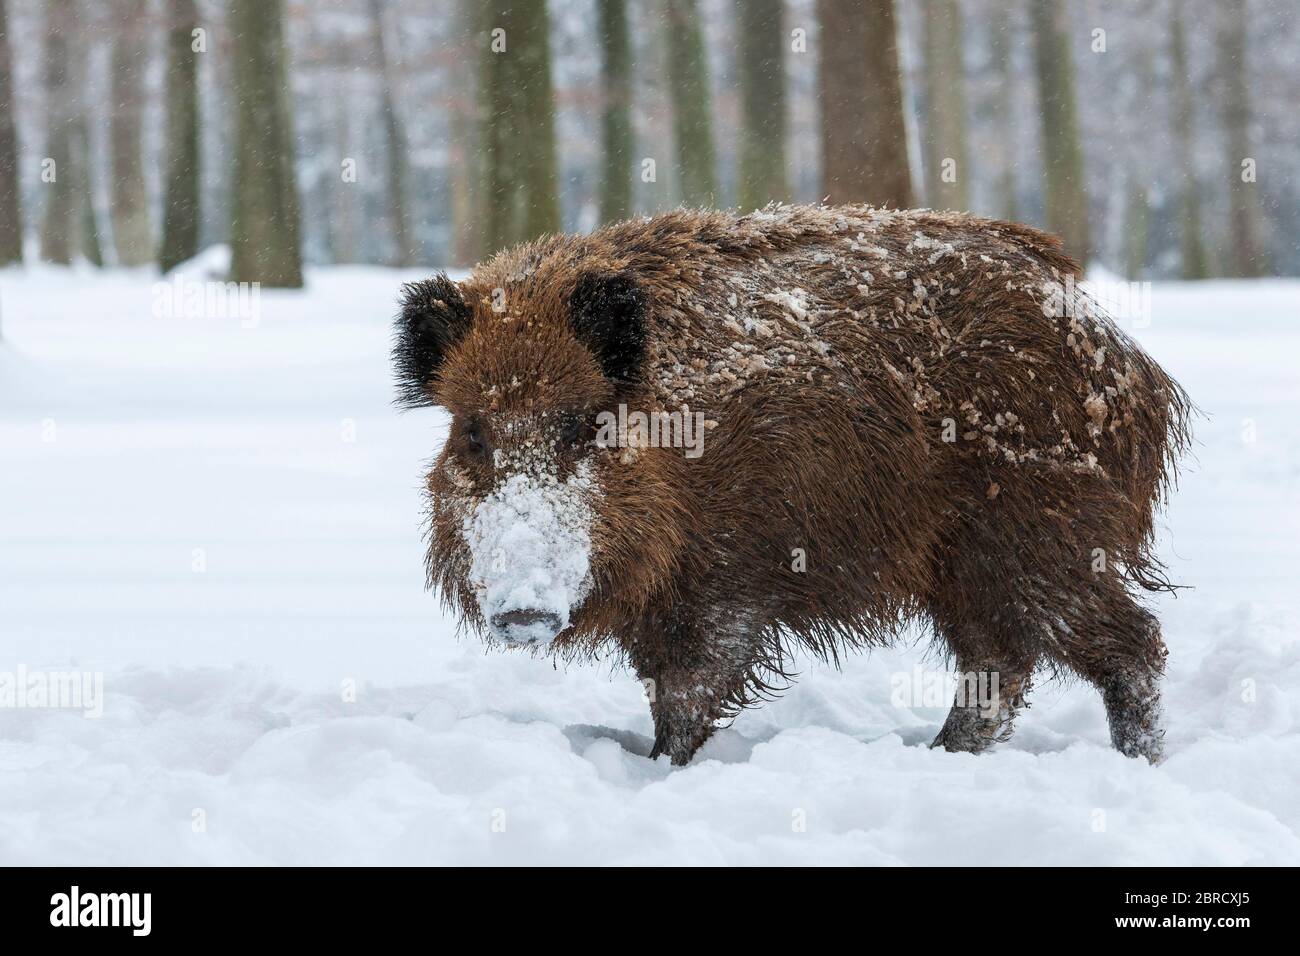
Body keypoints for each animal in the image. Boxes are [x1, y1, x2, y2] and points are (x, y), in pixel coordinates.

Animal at [393, 204, 1190, 766]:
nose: (522, 611)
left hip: (1041, 535)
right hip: (963, 563)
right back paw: (942, 757)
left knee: (1130, 642)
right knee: (1000, 662)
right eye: (472, 432)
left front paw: (661, 773)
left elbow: (690, 691)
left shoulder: (730, 576)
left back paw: (1138, 763)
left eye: (585, 425)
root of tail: (1130, 364)